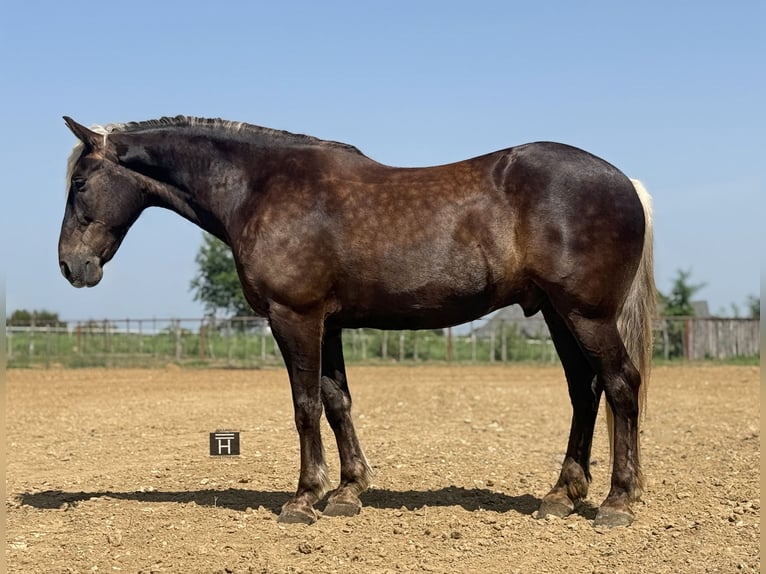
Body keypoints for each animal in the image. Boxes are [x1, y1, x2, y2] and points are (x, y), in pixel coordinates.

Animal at [59, 115, 655, 528]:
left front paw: (303, 498)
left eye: (80, 183)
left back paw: (617, 502)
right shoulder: (331, 323)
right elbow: (336, 401)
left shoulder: (294, 317)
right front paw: (347, 492)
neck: (259, 187)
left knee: (621, 385)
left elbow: (305, 406)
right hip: (557, 313)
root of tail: (627, 182)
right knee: (585, 391)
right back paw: (560, 496)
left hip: (586, 314)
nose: (71, 266)